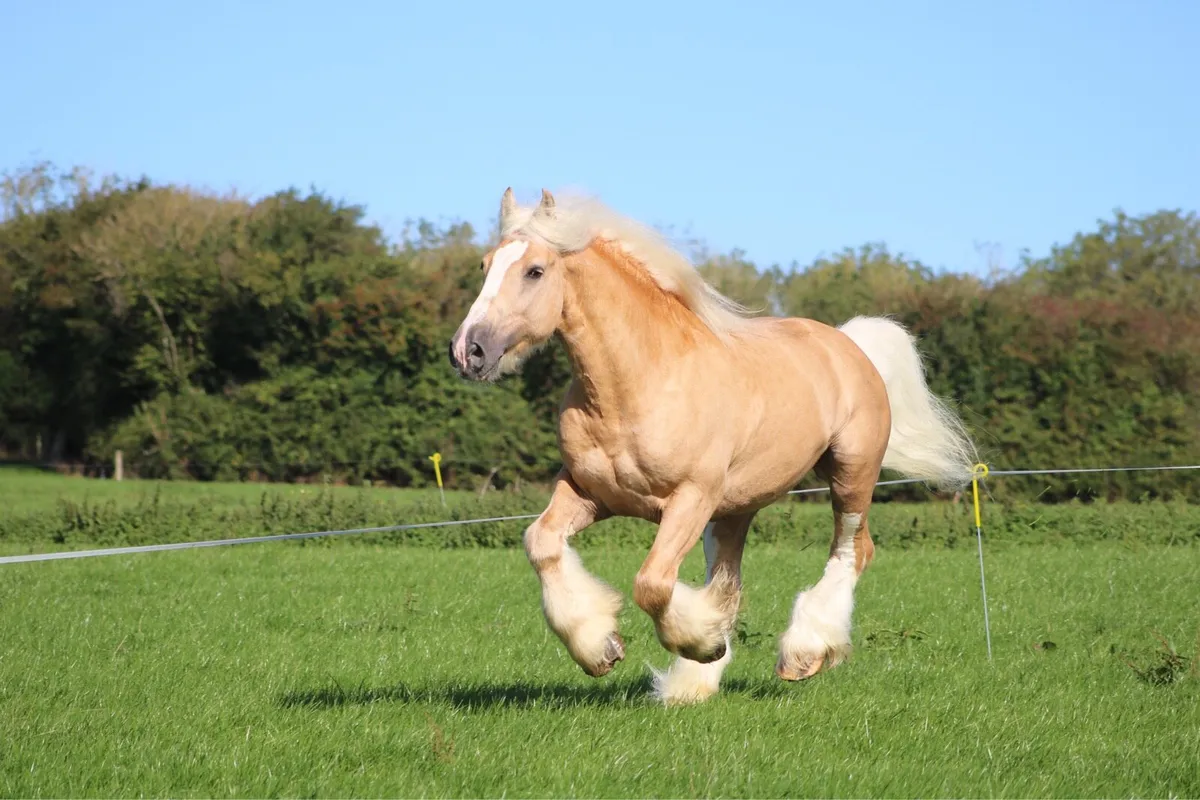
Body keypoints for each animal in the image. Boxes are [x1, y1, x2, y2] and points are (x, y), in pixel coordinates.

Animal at [448, 187, 978, 705]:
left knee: (852, 549)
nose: (467, 351)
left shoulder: (690, 498)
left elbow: (652, 585)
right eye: (485, 265)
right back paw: (694, 684)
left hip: (851, 472)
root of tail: (849, 345)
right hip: (734, 510)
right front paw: (601, 648)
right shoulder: (587, 491)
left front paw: (702, 644)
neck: (639, 383)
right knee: (728, 583)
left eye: (535, 271)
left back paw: (802, 654)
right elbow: (540, 543)